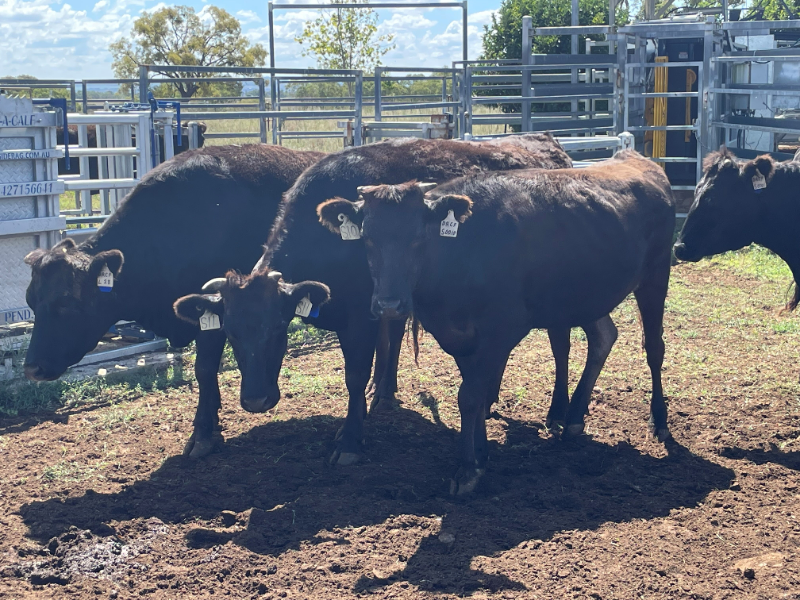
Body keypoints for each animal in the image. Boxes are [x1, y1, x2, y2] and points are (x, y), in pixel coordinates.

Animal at [174, 134, 573, 467]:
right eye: (230, 333)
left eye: (277, 328)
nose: (256, 401)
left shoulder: (359, 318)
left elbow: (354, 375)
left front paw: (350, 439)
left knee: (559, 344)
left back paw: (557, 413)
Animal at [317, 150, 676, 494]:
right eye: (367, 238)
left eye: (419, 237)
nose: (389, 304)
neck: (461, 252)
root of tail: (635, 160)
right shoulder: (459, 336)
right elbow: (474, 393)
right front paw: (480, 453)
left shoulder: (503, 329)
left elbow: (471, 395)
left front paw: (468, 469)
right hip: (586, 293)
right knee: (604, 336)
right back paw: (573, 417)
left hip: (655, 275)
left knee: (654, 348)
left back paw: (659, 421)